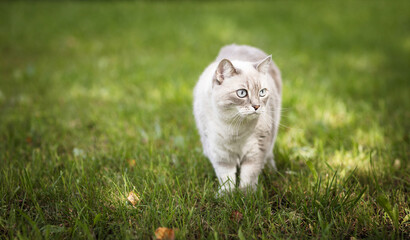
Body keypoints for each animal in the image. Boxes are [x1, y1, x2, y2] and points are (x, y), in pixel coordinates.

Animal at [193, 43, 282, 193]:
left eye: (262, 92)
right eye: (242, 93)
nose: (257, 106)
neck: (235, 128)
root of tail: (240, 46)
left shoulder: (256, 150)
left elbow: (249, 176)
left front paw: (247, 194)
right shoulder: (220, 153)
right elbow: (226, 177)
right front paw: (227, 195)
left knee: (269, 156)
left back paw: (272, 171)